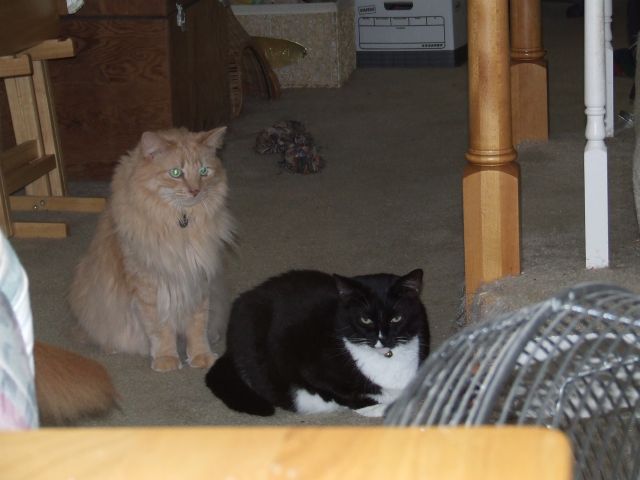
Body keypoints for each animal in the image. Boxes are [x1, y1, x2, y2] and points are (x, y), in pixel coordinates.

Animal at [69, 127, 235, 372]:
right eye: (176, 173)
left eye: (204, 171)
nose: (195, 190)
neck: (180, 225)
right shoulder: (151, 285)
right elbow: (160, 328)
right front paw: (167, 358)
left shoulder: (198, 279)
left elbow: (198, 325)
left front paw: (201, 355)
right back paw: (111, 346)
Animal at [205, 268, 429, 417]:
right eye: (365, 319)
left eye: (396, 318)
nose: (382, 339)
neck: (387, 359)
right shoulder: (311, 369)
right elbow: (347, 394)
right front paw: (377, 406)